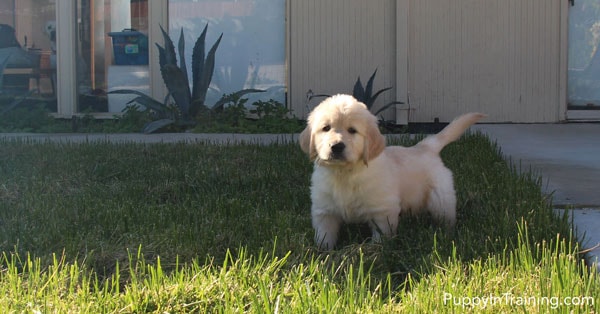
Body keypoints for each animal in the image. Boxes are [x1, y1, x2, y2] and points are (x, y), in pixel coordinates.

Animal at [298, 94, 486, 249]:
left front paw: (375, 252)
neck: (344, 173)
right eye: (326, 128)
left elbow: (380, 238)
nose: (336, 146)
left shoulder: (382, 211)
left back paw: (447, 234)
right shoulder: (324, 210)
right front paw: (322, 252)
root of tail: (425, 146)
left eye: (352, 130)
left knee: (446, 216)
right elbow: (325, 235)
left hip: (440, 198)